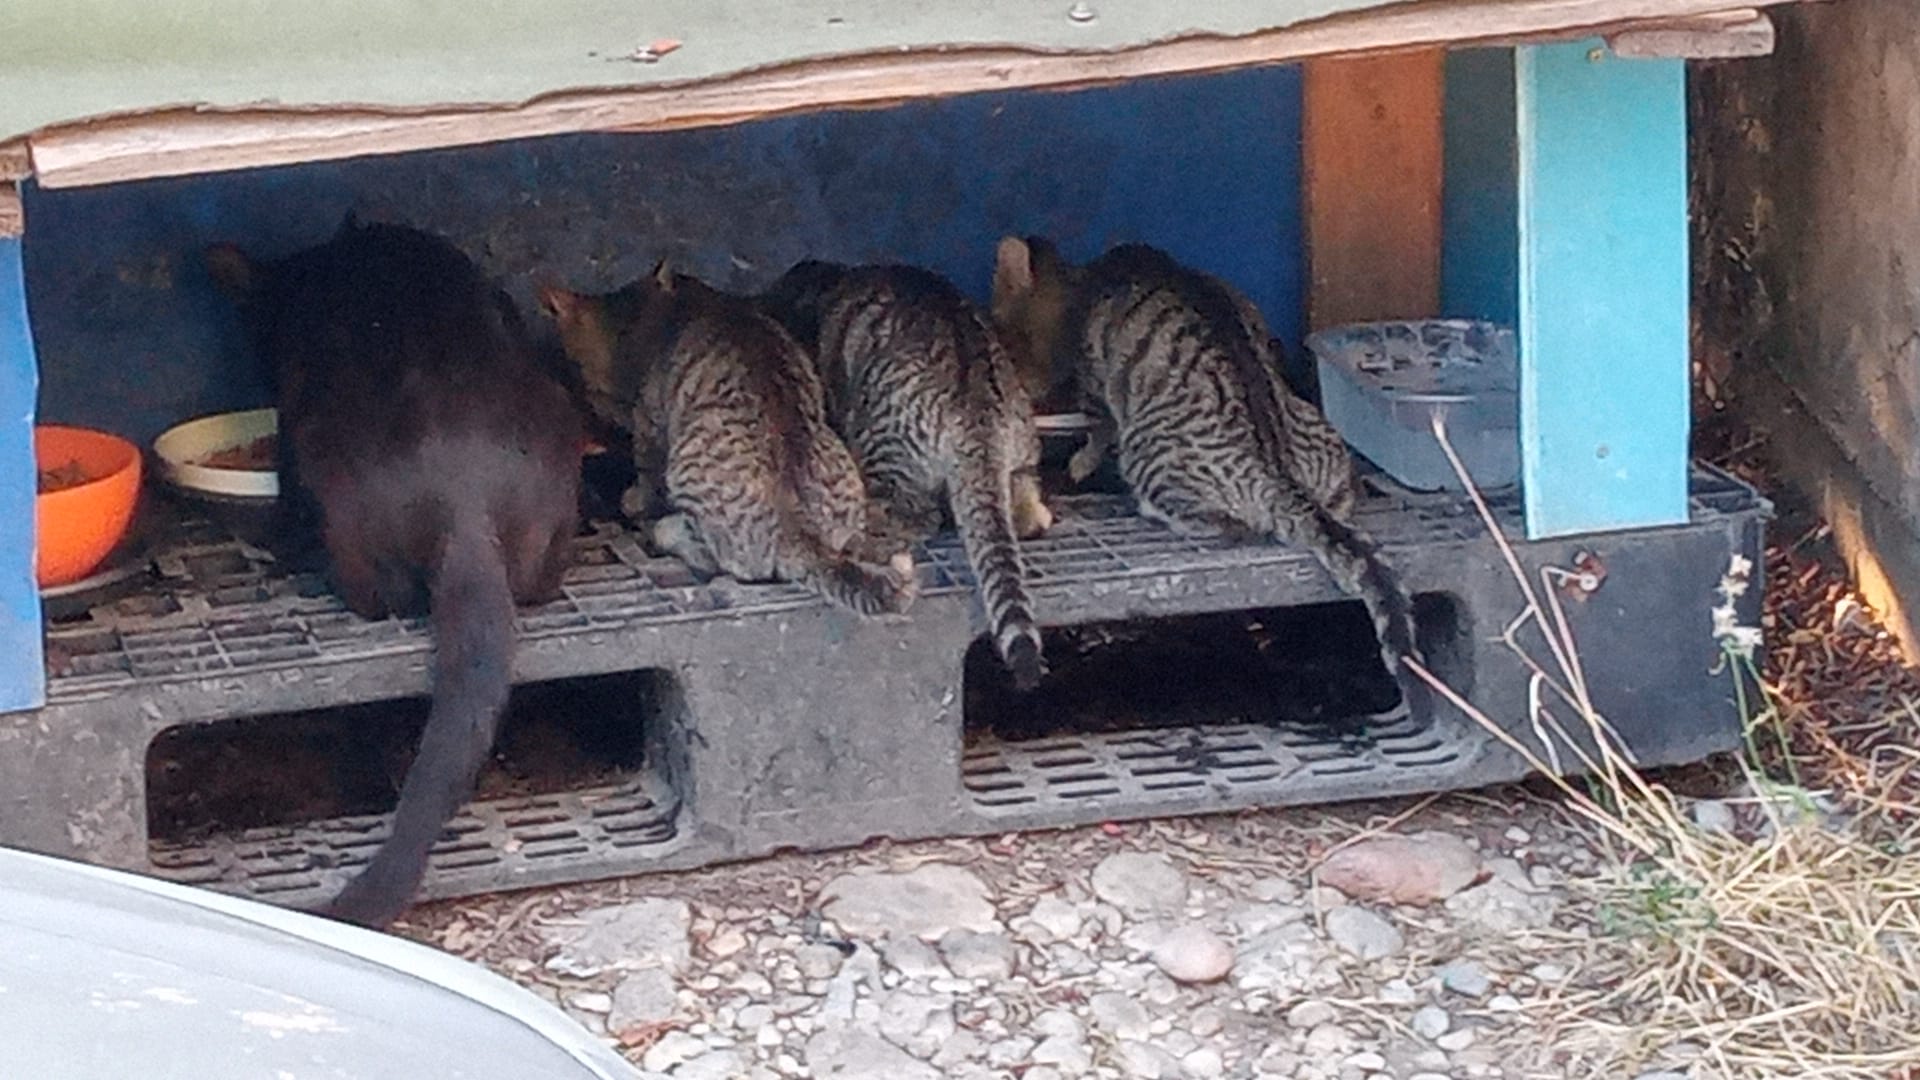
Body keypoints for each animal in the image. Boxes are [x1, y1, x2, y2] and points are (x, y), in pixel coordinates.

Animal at [545, 261, 917, 614]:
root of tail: (800, 534)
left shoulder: (648, 423)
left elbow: (647, 476)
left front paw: (635, 498)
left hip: (688, 464)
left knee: (714, 558)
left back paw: (669, 531)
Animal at [990, 239, 1428, 718]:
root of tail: (1282, 474)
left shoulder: (1097, 389)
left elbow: (1097, 427)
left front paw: (1082, 461)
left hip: (1149, 452)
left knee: (1217, 519)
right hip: (1322, 434)